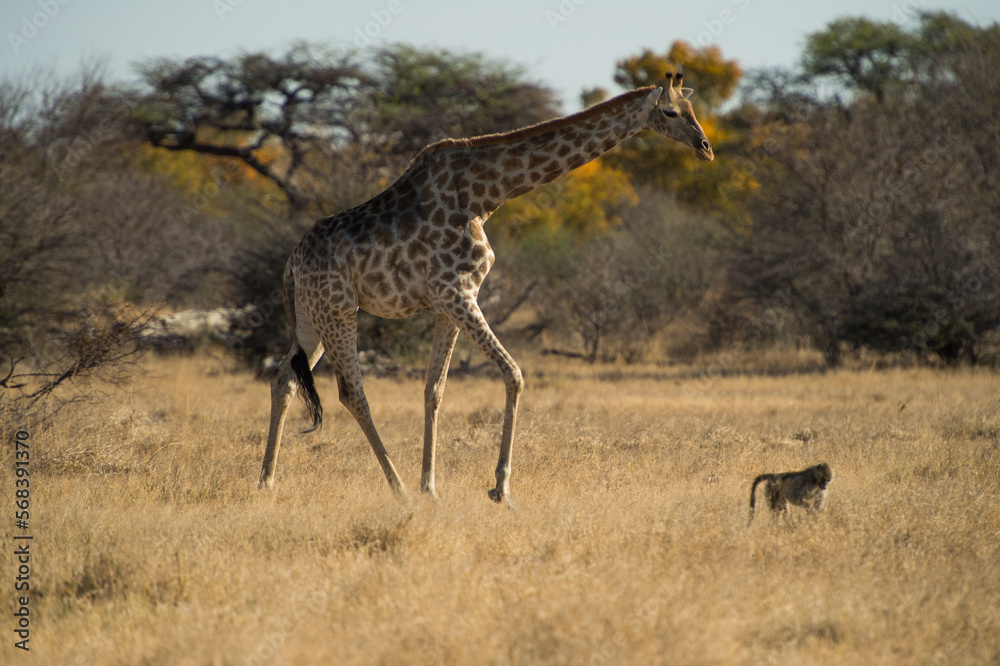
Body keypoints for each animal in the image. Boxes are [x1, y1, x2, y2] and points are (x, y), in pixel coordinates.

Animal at [258, 72, 713, 504]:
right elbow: (514, 374)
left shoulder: (448, 302)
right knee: (351, 392)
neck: (485, 195)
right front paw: (500, 489)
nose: (706, 148)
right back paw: (397, 488)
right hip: (338, 311)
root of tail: (291, 263)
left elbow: (434, 390)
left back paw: (266, 482)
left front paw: (432, 488)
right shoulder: (457, 293)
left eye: (692, 108)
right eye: (671, 112)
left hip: (312, 317)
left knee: (284, 377)